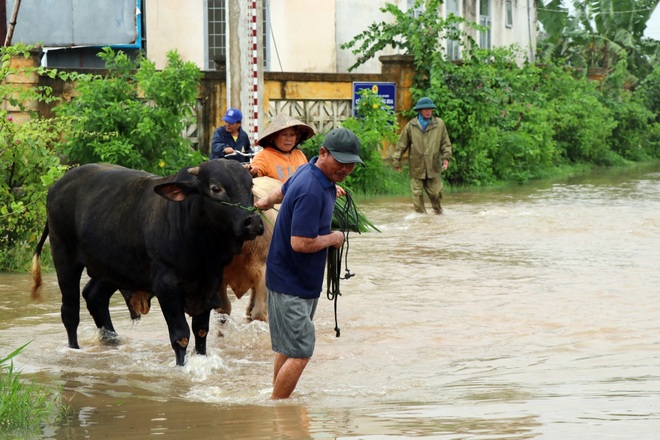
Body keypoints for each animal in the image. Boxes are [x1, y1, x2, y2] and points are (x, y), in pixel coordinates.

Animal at [30, 160, 262, 366]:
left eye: (250, 185)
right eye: (216, 188)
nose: (254, 222)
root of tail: (57, 186)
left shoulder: (209, 285)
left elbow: (201, 331)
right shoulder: (166, 286)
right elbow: (180, 335)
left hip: (114, 268)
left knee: (94, 296)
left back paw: (113, 342)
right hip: (64, 257)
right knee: (70, 311)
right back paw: (74, 349)